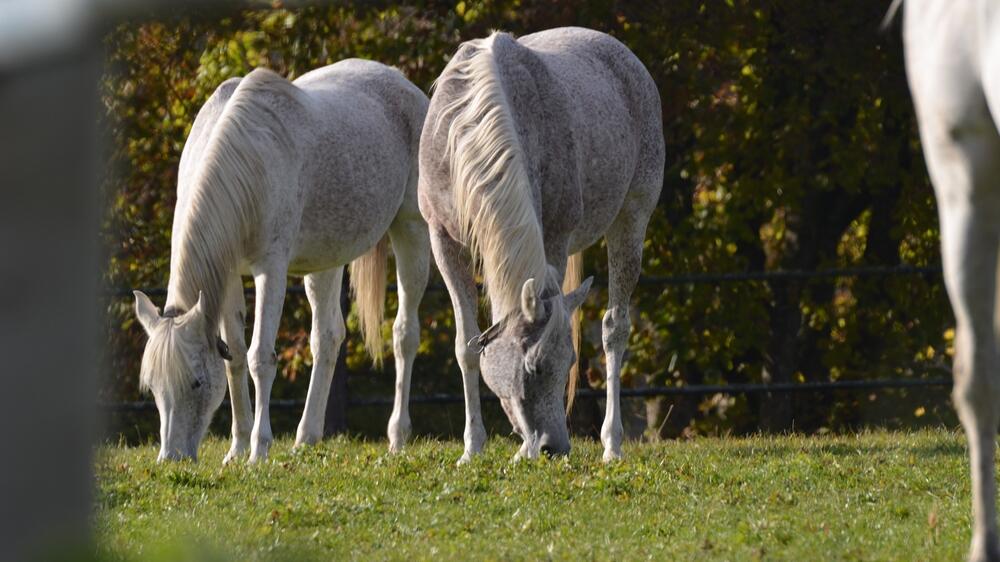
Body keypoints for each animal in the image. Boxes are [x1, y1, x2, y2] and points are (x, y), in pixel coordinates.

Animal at [134, 60, 430, 464]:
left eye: (195, 382)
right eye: (152, 387)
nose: (171, 458)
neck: (247, 162)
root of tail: (404, 84)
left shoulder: (270, 271)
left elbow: (260, 356)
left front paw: (258, 450)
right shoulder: (228, 276)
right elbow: (235, 358)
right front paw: (237, 448)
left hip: (411, 230)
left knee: (404, 335)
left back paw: (397, 437)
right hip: (326, 260)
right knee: (327, 337)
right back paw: (306, 437)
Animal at [420, 28, 664, 462]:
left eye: (568, 362)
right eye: (531, 367)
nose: (554, 447)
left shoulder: (553, 237)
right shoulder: (442, 239)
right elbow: (466, 346)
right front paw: (472, 448)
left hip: (632, 218)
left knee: (614, 329)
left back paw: (612, 445)